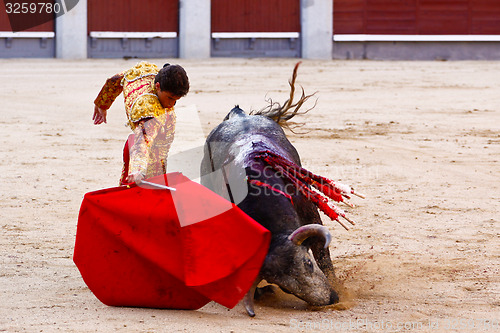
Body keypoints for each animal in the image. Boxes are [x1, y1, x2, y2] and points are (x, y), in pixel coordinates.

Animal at [201, 105, 342, 314]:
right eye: (286, 288)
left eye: (308, 263)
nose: (332, 299)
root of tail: (239, 114)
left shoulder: (310, 212)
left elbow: (323, 254)